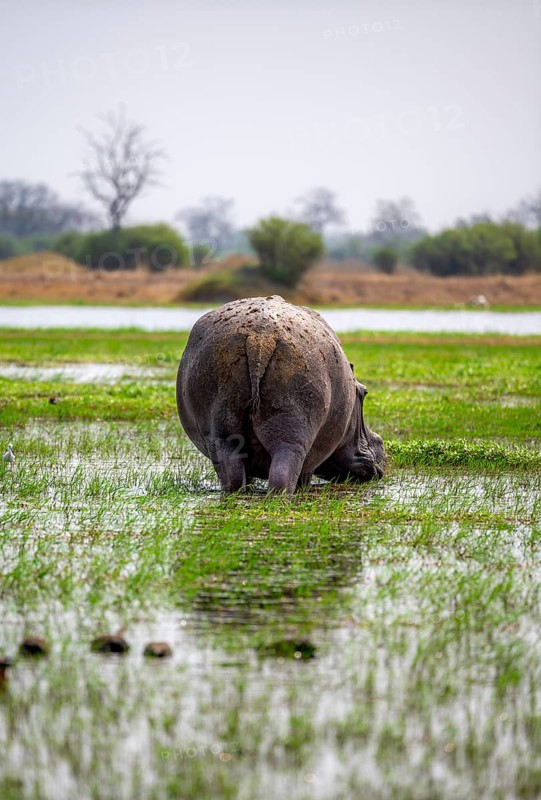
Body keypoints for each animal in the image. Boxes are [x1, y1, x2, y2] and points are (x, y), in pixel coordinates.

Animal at [176, 296, 385, 493]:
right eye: (364, 392)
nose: (381, 442)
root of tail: (259, 338)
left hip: (223, 433)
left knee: (233, 477)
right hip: (293, 434)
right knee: (283, 476)